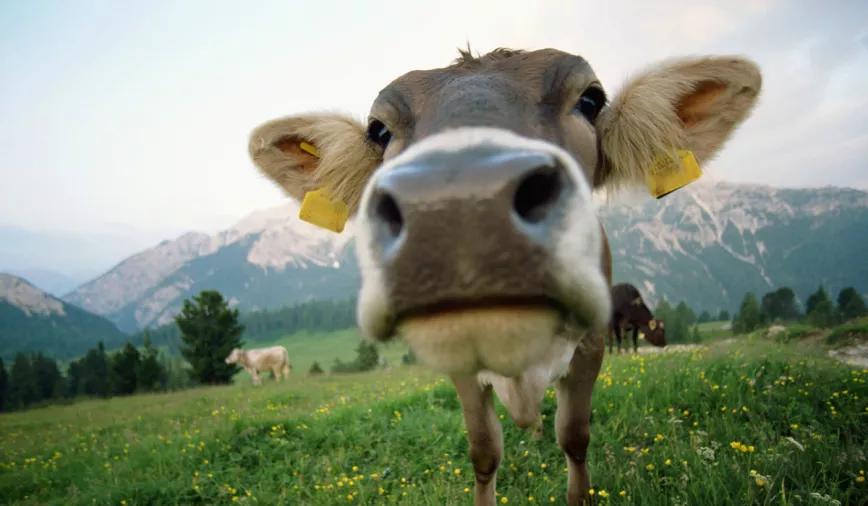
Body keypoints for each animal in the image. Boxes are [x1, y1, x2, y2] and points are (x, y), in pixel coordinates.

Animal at [248, 48, 760, 505]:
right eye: (378, 130)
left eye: (591, 100)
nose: (458, 203)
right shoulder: (460, 368)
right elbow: (484, 452)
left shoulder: (594, 342)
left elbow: (575, 437)